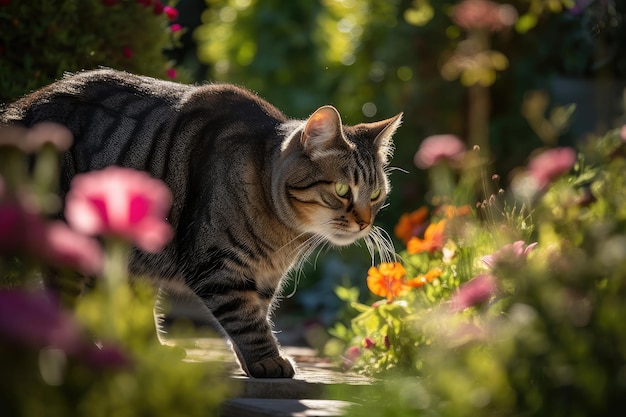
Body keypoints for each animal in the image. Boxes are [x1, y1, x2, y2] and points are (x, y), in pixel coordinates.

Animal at [0, 70, 400, 378]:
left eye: (376, 195)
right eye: (342, 190)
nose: (365, 223)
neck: (284, 235)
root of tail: (19, 108)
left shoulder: (263, 279)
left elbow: (256, 315)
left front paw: (255, 359)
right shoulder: (217, 266)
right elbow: (246, 320)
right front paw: (267, 360)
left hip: (136, 259)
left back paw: (150, 350)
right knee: (68, 304)